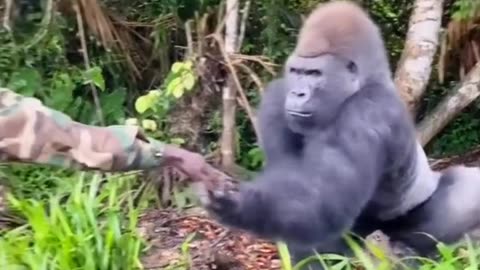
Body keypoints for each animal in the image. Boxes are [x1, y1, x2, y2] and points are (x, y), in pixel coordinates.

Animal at [199, 1, 480, 268]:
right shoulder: (276, 100)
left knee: (462, 194)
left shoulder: (370, 109)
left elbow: (319, 203)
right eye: (297, 72)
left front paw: (241, 203)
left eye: (314, 74)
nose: (297, 93)